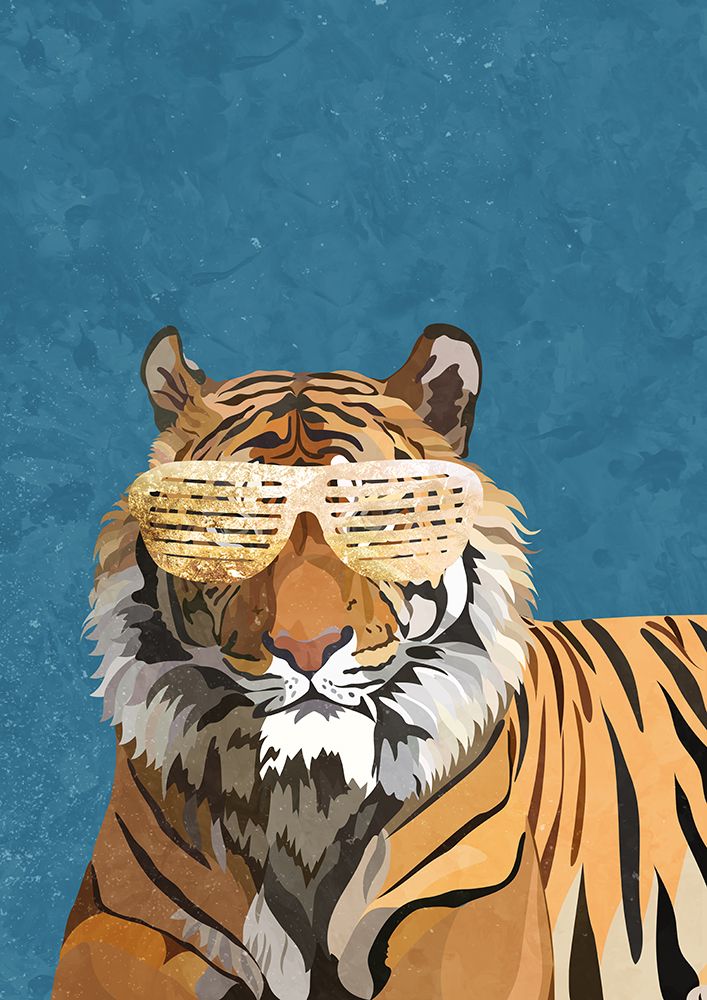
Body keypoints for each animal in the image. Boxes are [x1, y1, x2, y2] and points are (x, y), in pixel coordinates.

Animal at [52, 323, 707, 1000]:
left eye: (370, 516)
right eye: (241, 520)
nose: (307, 648)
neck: (308, 797)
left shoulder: (465, 904)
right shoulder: (120, 918)